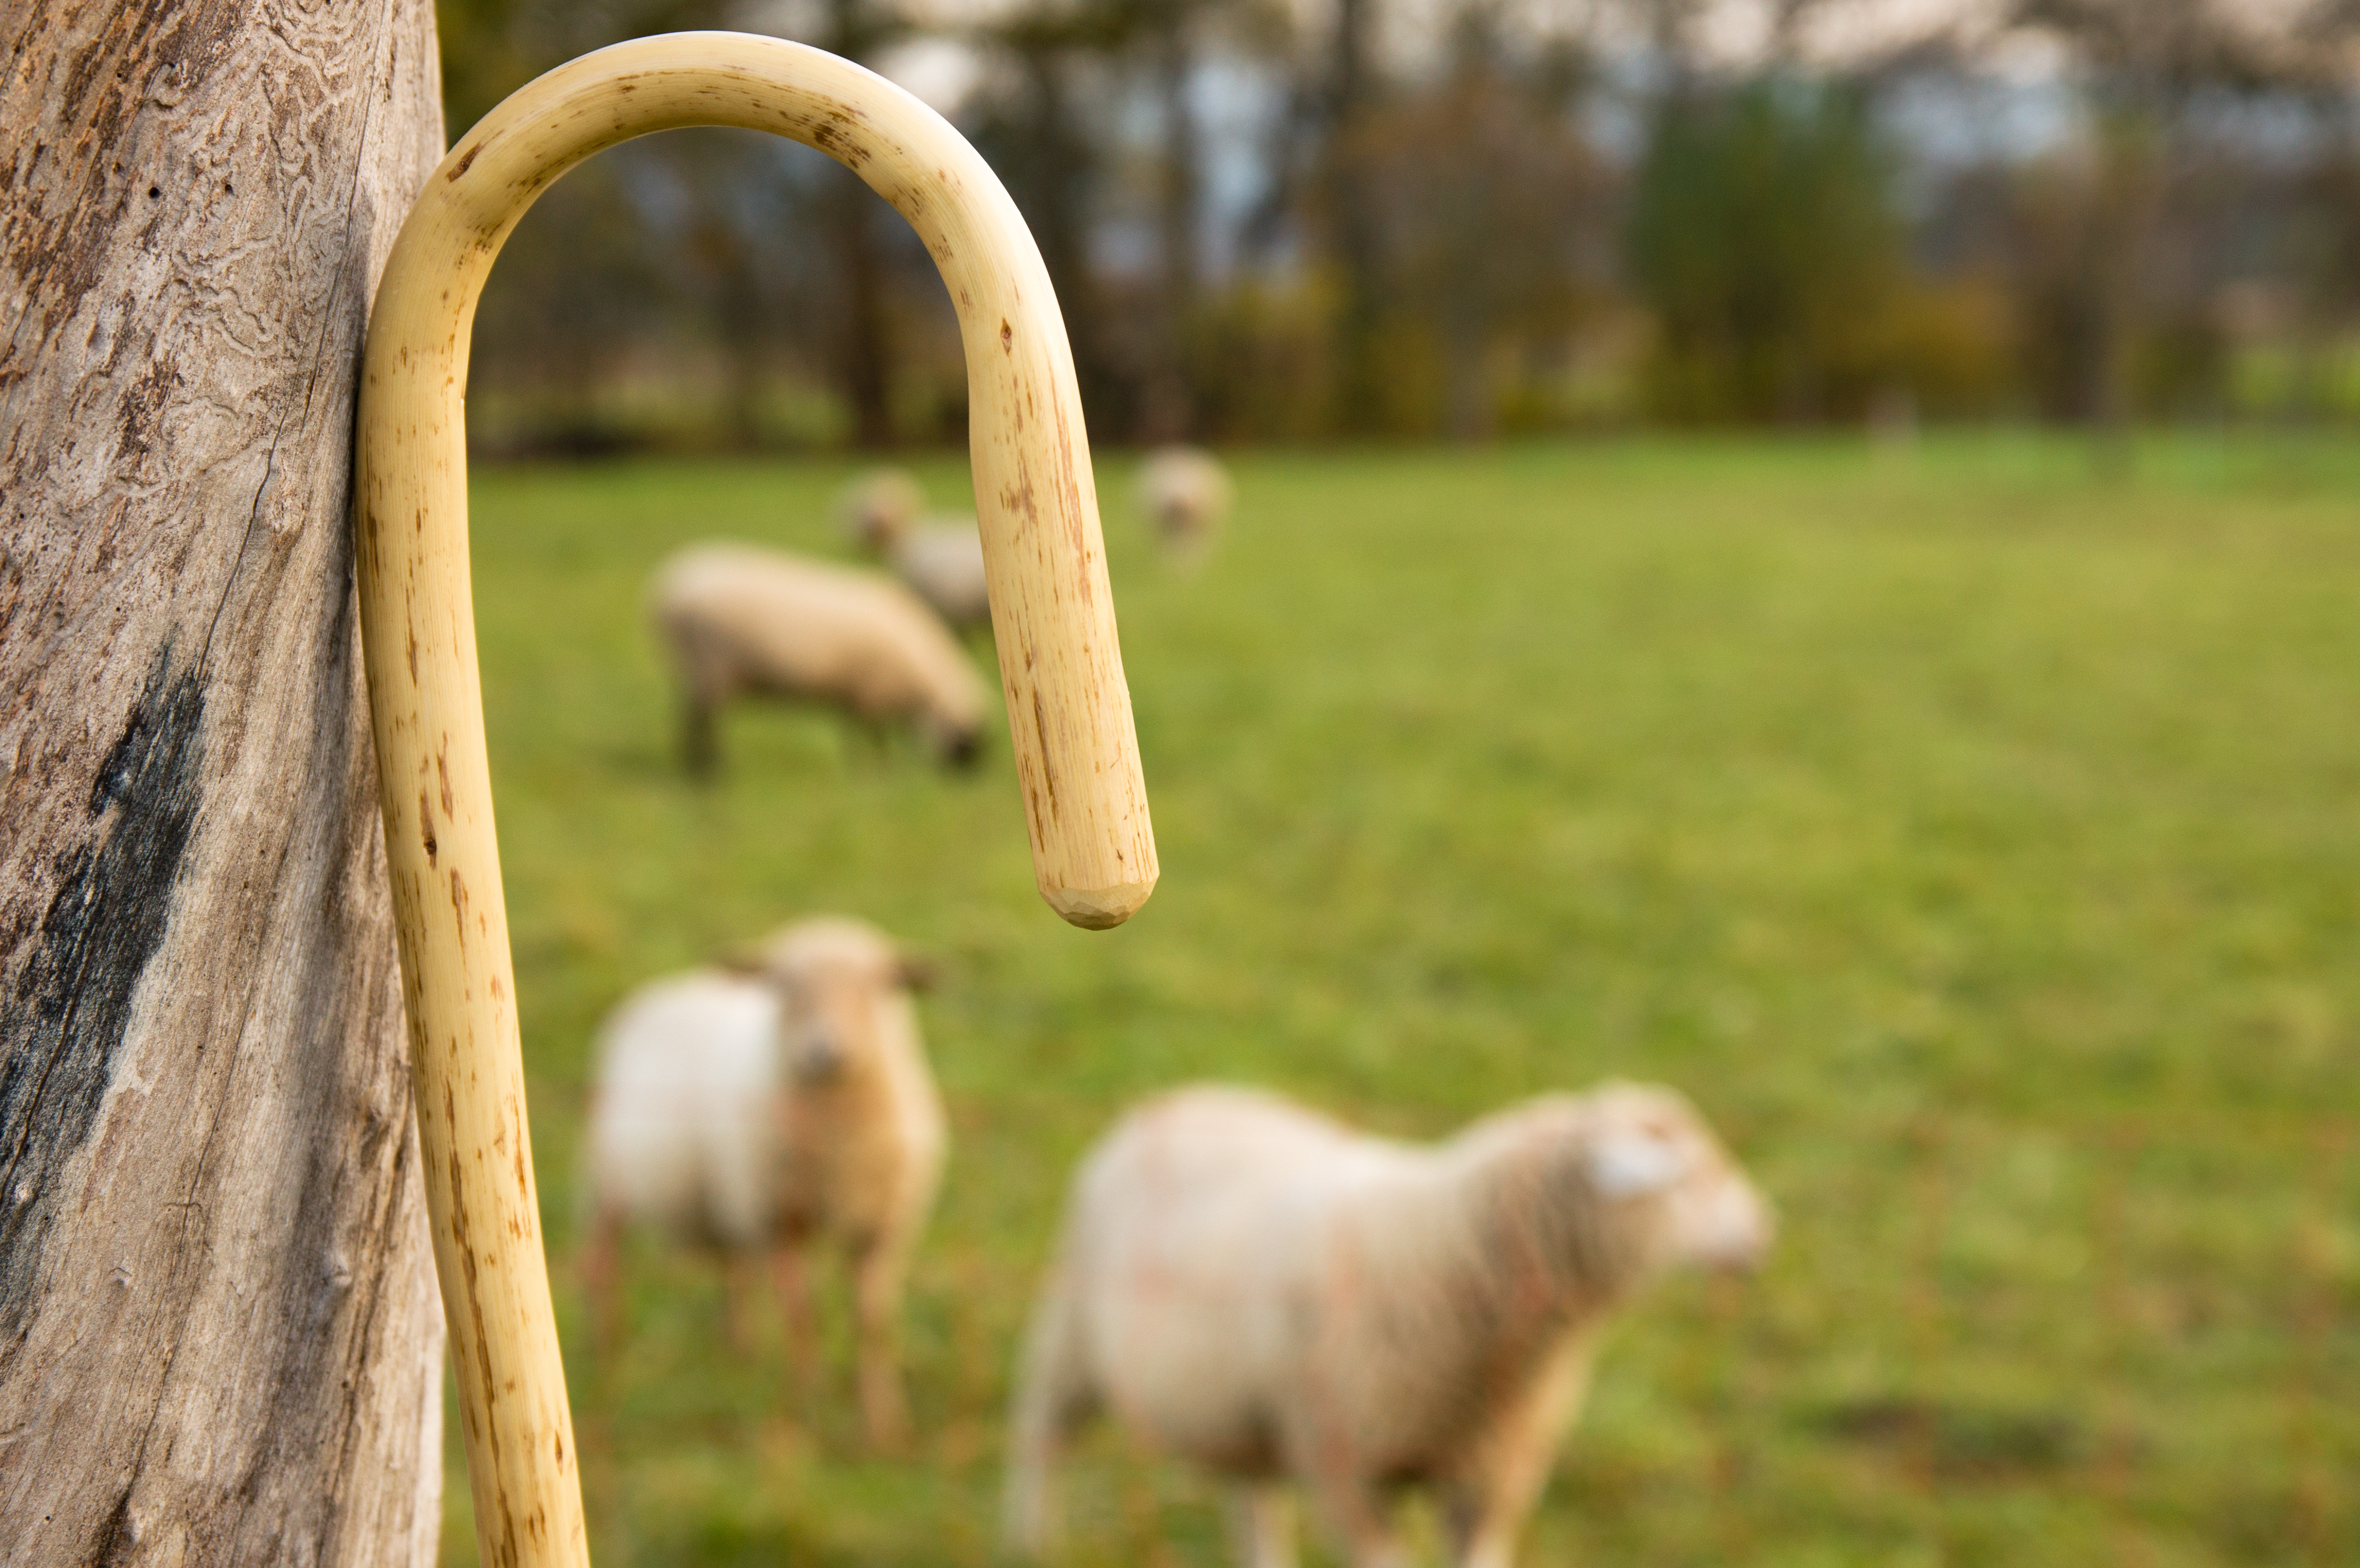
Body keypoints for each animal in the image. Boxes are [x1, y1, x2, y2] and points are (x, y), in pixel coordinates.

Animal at [580, 921, 949, 1445]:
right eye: (784, 986)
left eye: (878, 985)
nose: (825, 1054)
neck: (832, 1147)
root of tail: (672, 985)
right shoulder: (779, 1219)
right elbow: (801, 1316)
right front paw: (807, 1403)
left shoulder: (878, 1226)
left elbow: (872, 1324)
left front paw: (883, 1424)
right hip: (609, 1175)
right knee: (600, 1260)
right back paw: (606, 1349)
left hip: (722, 1200)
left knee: (732, 1270)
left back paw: (740, 1350)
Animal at [646, 545, 986, 779]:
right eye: (967, 742)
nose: (970, 780)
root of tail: (665, 592)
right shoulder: (870, 694)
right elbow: (874, 740)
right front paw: (878, 773)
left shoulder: (852, 695)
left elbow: (854, 736)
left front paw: (862, 771)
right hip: (708, 667)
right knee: (700, 722)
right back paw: (712, 770)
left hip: (698, 672)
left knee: (692, 718)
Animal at [1001, 1076, 1775, 1568]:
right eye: (1689, 1175)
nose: (1761, 1233)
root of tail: (1173, 1098)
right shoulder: (1347, 1466)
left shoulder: (1488, 1476)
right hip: (1073, 1334)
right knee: (1041, 1432)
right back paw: (1032, 1541)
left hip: (1242, 1407)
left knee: (1251, 1502)